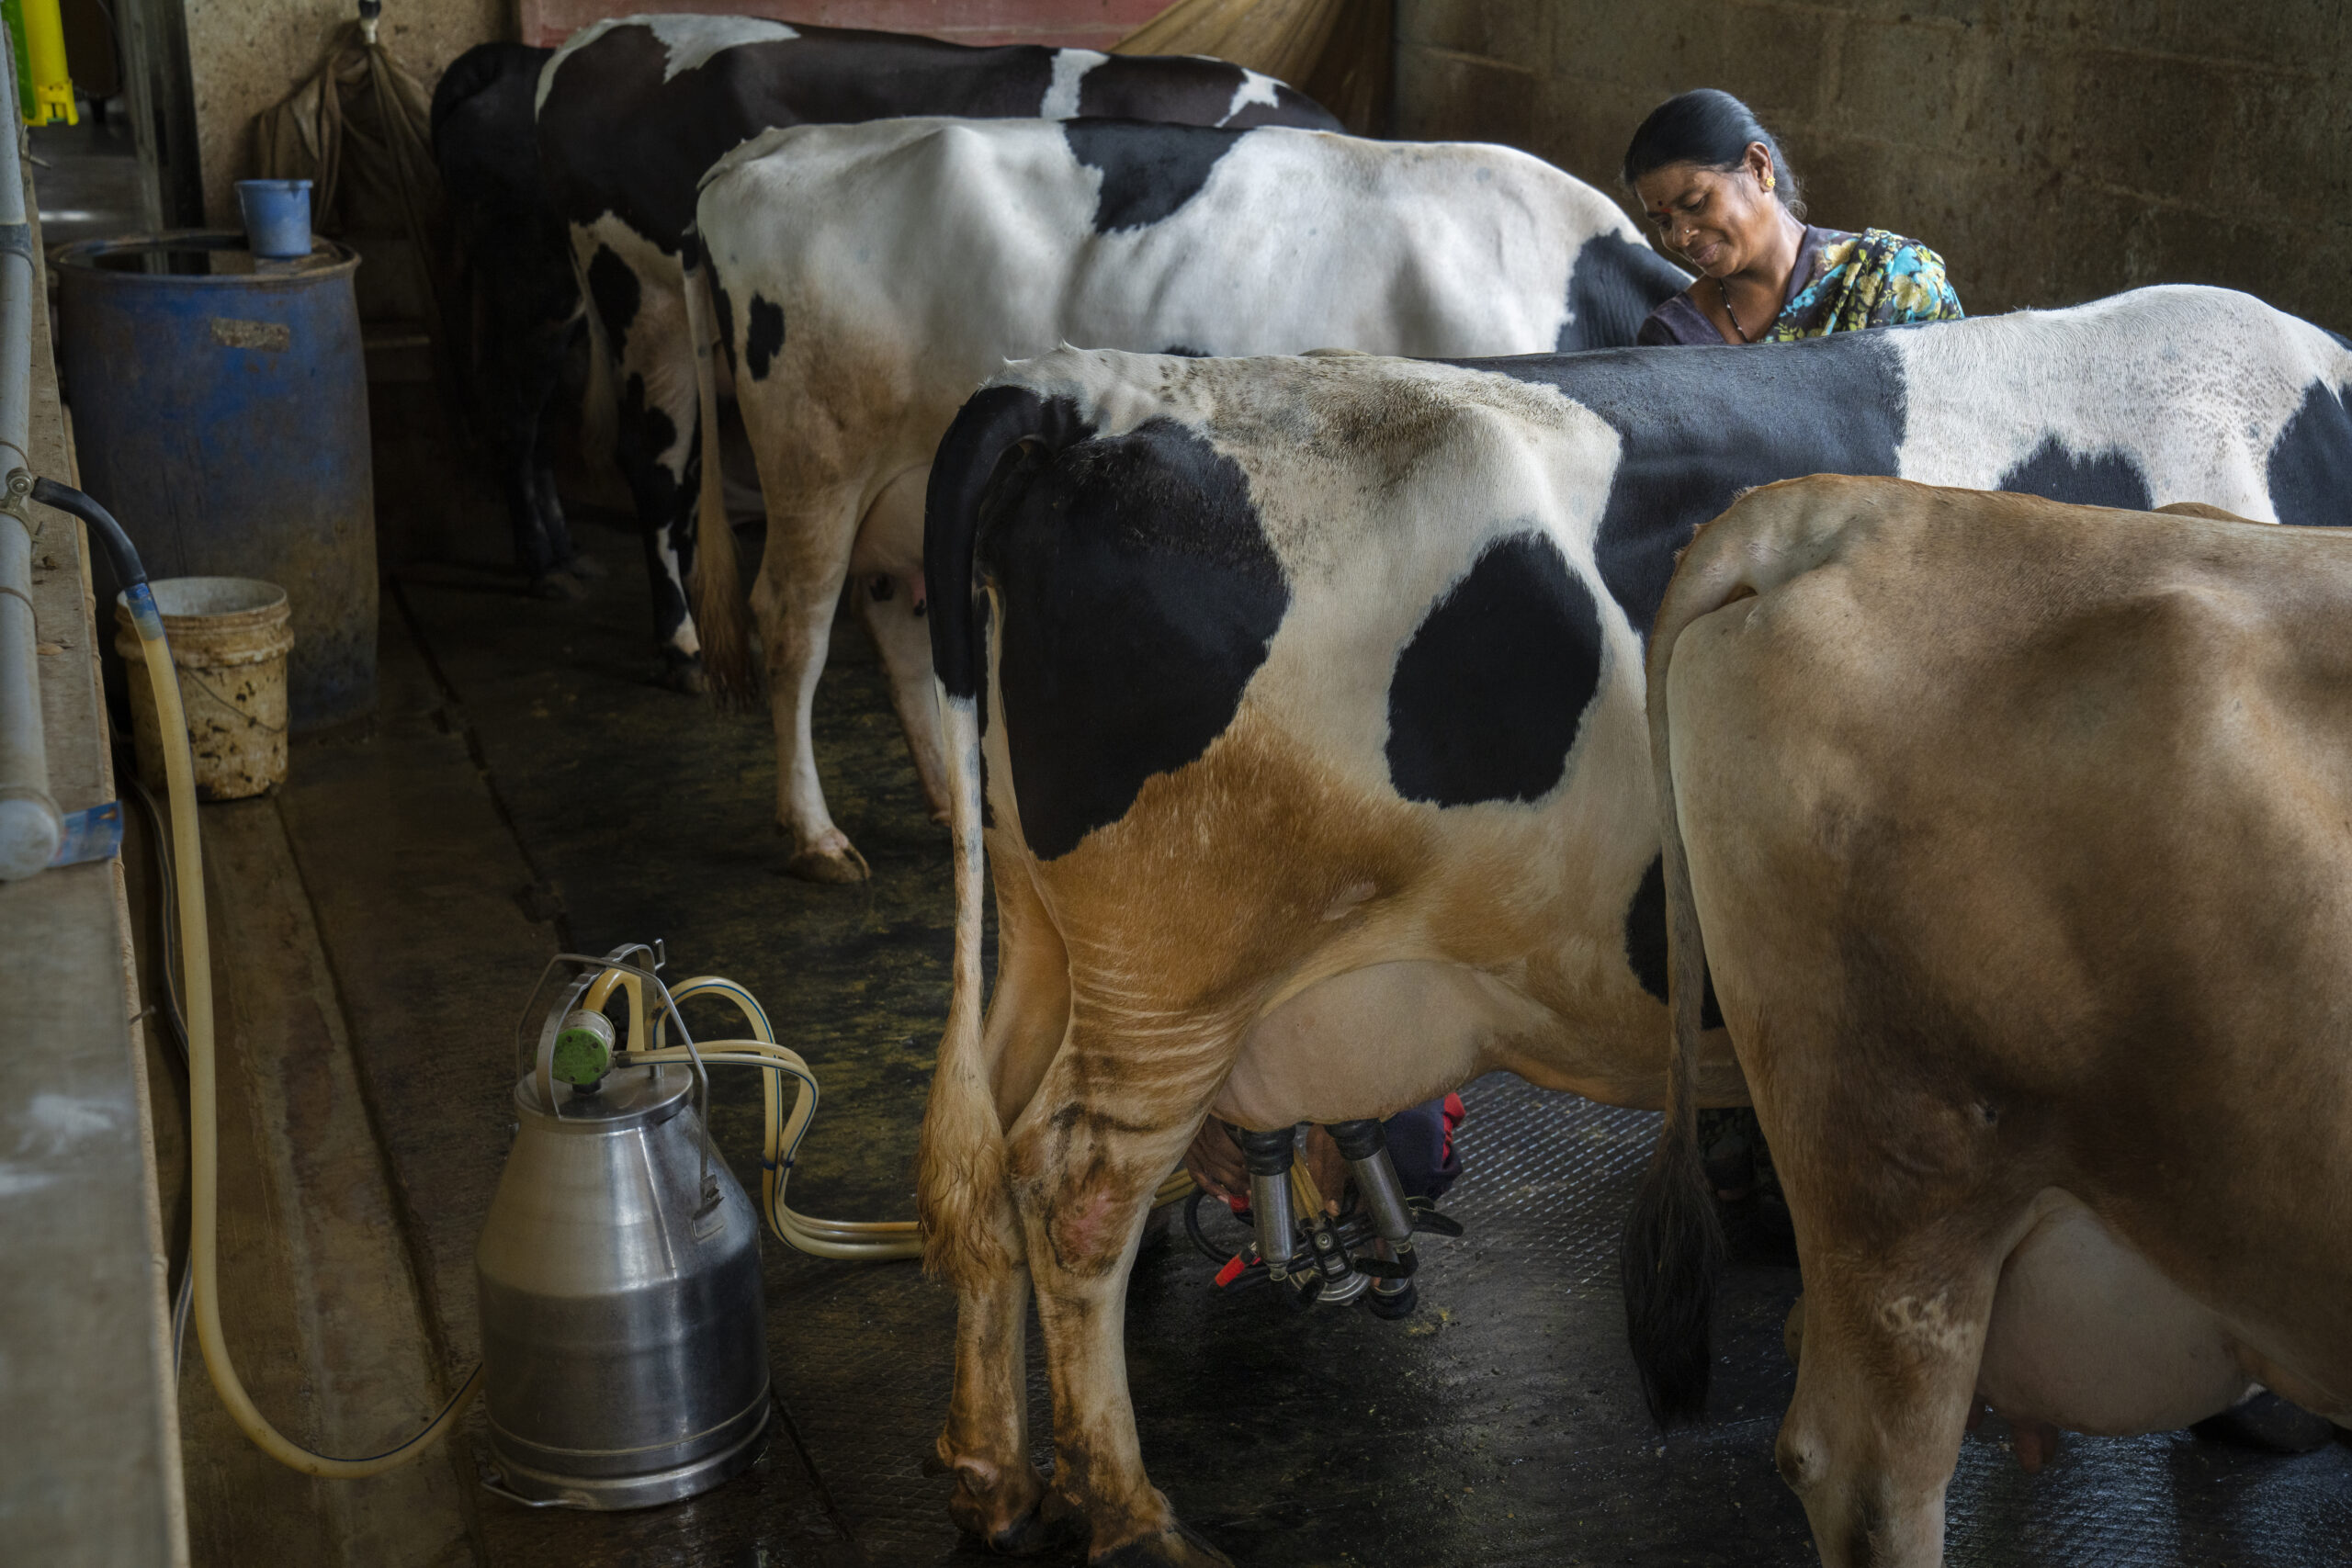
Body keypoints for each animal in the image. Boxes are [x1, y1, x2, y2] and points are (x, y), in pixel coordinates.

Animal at [433, 41, 597, 602]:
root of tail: (503, 60)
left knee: (539, 426)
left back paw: (565, 554)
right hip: (544, 303)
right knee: (516, 422)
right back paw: (542, 564)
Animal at [682, 119, 1693, 884]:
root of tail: (764, 150)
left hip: (897, 495)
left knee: (894, 621)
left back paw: (943, 799)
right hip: (816, 465)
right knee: (795, 627)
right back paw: (816, 834)